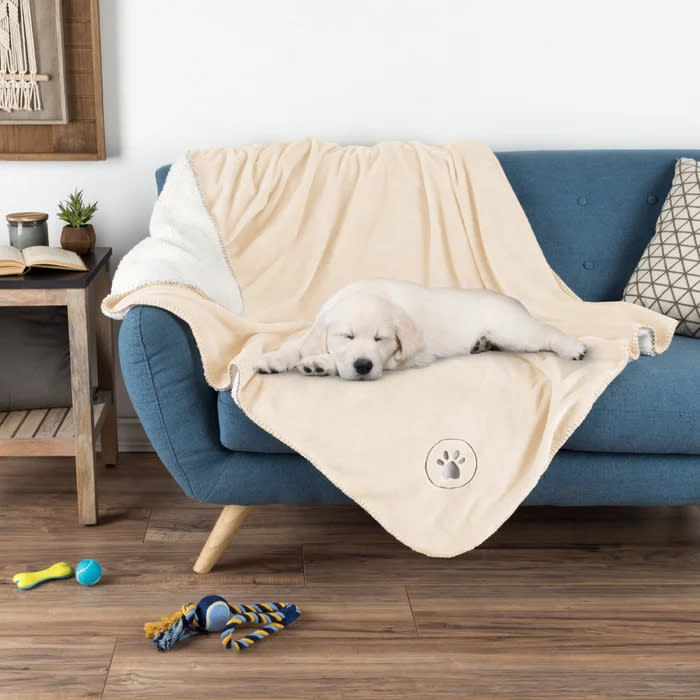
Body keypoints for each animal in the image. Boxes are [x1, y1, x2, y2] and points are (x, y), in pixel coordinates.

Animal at [254, 278, 588, 382]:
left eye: (380, 339)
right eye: (347, 336)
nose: (363, 366)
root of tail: (510, 299)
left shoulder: (406, 358)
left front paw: (320, 363)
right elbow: (297, 343)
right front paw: (273, 359)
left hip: (515, 331)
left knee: (547, 333)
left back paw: (574, 347)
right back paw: (481, 344)